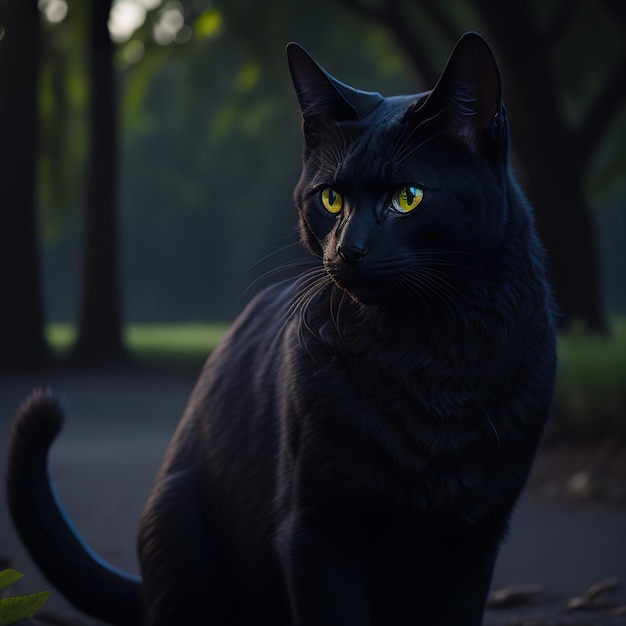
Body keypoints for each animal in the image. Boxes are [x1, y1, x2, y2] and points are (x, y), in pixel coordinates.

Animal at [4, 33, 552, 624]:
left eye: (408, 197)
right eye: (330, 198)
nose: (348, 250)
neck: (426, 355)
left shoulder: (471, 543)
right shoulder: (316, 530)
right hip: (183, 544)